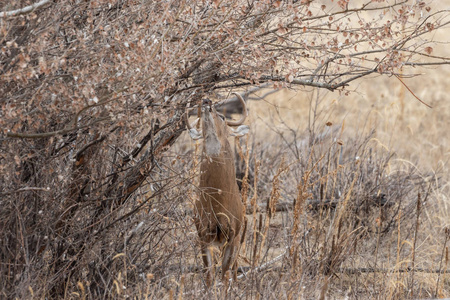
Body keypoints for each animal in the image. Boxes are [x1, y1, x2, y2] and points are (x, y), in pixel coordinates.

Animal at [186, 92, 250, 288]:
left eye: (222, 116)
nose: (207, 101)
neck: (218, 203)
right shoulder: (203, 234)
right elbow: (208, 276)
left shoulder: (232, 234)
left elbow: (225, 274)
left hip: (239, 236)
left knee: (234, 271)